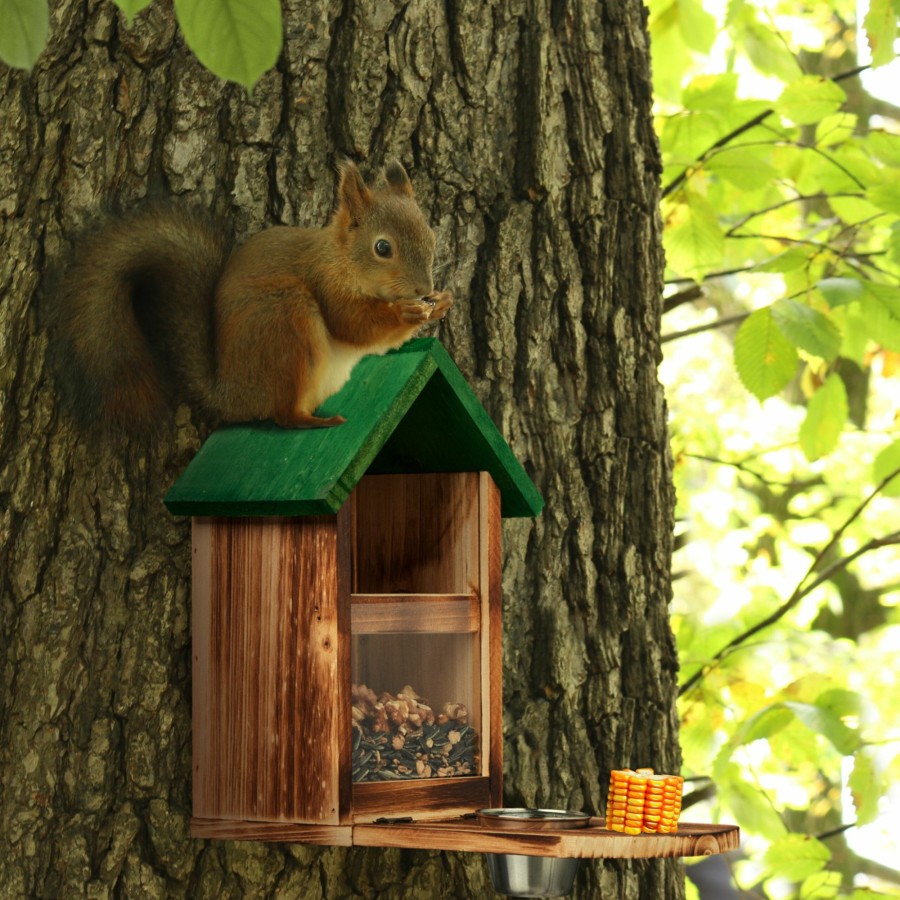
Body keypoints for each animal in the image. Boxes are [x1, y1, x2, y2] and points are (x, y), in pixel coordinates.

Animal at [56, 161, 454, 428]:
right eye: (382, 248)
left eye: (432, 236)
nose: (424, 289)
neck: (341, 258)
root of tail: (232, 394)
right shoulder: (325, 282)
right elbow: (354, 325)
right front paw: (407, 313)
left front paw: (441, 303)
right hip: (284, 321)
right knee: (282, 416)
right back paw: (314, 422)